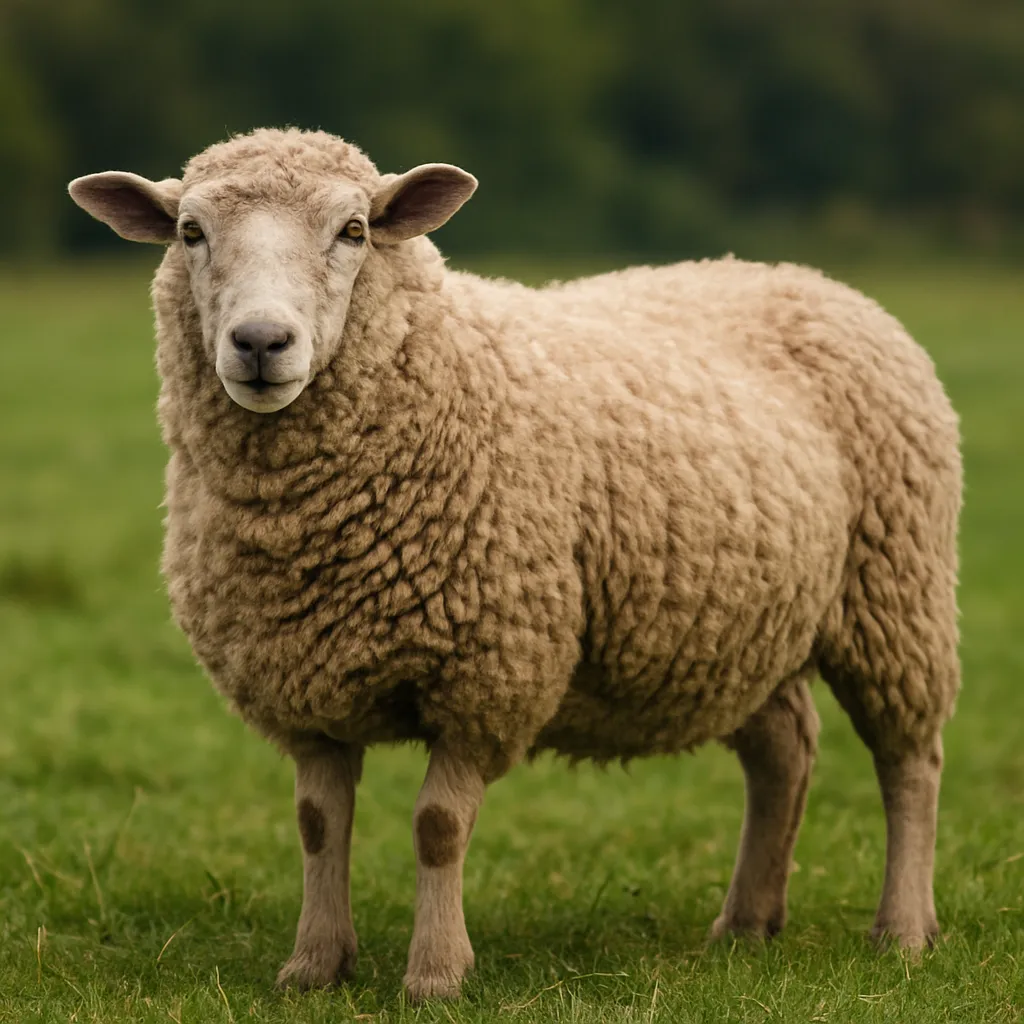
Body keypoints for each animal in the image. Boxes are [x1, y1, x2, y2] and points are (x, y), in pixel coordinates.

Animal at [68, 127, 962, 1002]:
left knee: (909, 761)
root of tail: (804, 277)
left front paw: (436, 975)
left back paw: (903, 931)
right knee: (784, 752)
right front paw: (314, 967)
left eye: (353, 231)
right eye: (191, 232)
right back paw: (747, 923)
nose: (260, 343)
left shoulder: (488, 673)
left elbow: (438, 827)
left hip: (896, 590)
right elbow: (319, 826)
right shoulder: (306, 687)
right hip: (745, 625)